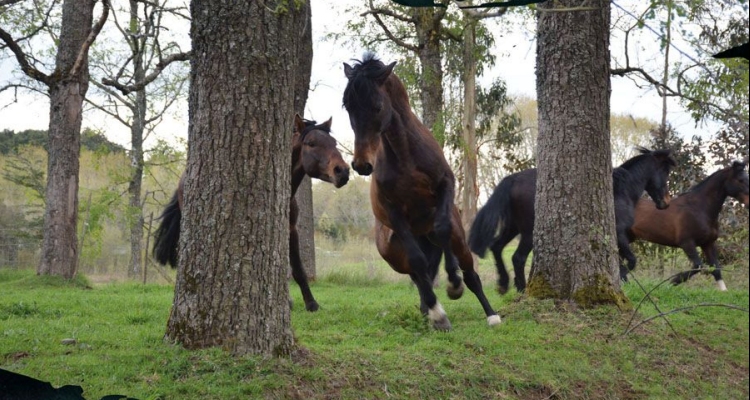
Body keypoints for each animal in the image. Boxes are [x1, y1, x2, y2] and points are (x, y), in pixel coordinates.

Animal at [155, 114, 352, 310]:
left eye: (334, 143)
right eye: (311, 143)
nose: (342, 171)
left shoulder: (290, 230)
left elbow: (295, 269)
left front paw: (309, 303)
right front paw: (309, 304)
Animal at [344, 52, 502, 332]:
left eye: (377, 106)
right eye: (349, 108)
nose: (362, 165)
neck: (406, 155)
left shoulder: (445, 188)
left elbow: (443, 229)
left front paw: (454, 285)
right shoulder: (394, 213)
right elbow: (419, 264)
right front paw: (438, 315)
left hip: (457, 238)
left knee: (468, 270)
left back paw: (489, 312)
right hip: (395, 253)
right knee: (419, 273)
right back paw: (430, 308)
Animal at [470, 148, 676, 294]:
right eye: (665, 171)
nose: (666, 202)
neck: (621, 190)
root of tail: (513, 179)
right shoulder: (619, 234)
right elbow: (631, 261)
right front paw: (622, 279)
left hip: (513, 227)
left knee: (496, 247)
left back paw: (504, 284)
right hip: (528, 232)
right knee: (517, 258)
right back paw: (521, 289)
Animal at [632, 160, 748, 290]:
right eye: (740, 180)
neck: (699, 209)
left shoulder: (708, 243)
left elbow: (716, 269)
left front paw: (724, 291)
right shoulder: (687, 243)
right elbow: (698, 266)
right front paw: (671, 282)